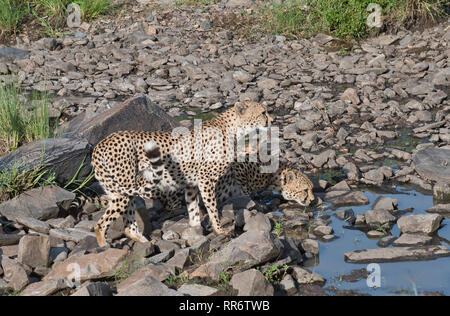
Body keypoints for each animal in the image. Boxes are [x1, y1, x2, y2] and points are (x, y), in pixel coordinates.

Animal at [91, 101, 270, 247]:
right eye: (263, 112)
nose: (271, 120)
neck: (233, 128)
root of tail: (100, 144)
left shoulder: (191, 184)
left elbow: (193, 209)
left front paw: (195, 228)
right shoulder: (206, 179)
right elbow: (212, 207)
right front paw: (219, 230)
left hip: (120, 190)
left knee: (128, 225)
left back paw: (144, 242)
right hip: (123, 189)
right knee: (100, 225)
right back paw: (105, 247)